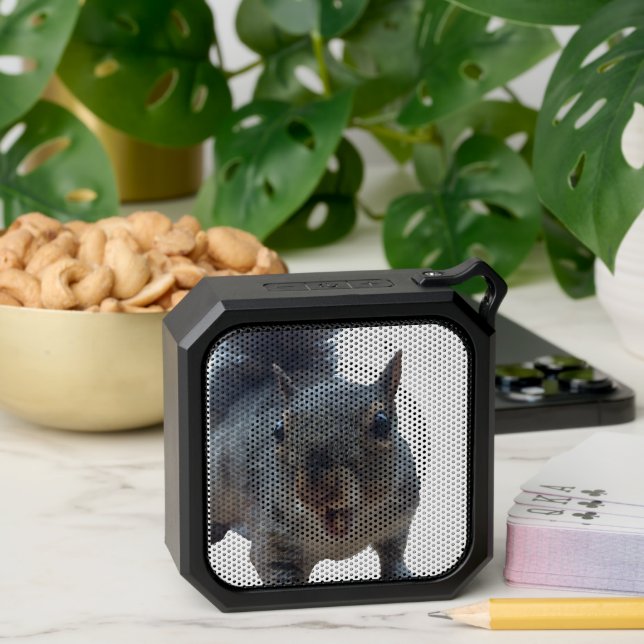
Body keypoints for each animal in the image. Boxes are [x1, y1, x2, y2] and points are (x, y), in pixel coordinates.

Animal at [208, 327, 420, 586]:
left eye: (382, 424)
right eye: (278, 429)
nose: (315, 487)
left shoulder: (400, 519)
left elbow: (393, 552)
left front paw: (401, 573)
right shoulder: (273, 541)